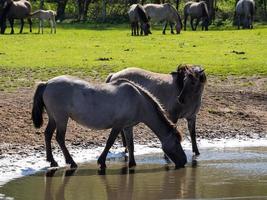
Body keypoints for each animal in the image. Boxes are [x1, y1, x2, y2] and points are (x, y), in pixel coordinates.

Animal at [31, 75, 186, 169]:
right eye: (177, 142)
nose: (184, 161)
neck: (138, 100)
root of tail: (47, 83)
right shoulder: (118, 126)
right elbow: (110, 142)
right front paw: (101, 161)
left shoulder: (127, 127)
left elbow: (131, 145)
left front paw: (132, 163)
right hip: (61, 118)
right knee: (59, 138)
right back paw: (71, 162)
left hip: (53, 118)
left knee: (48, 134)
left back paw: (52, 161)